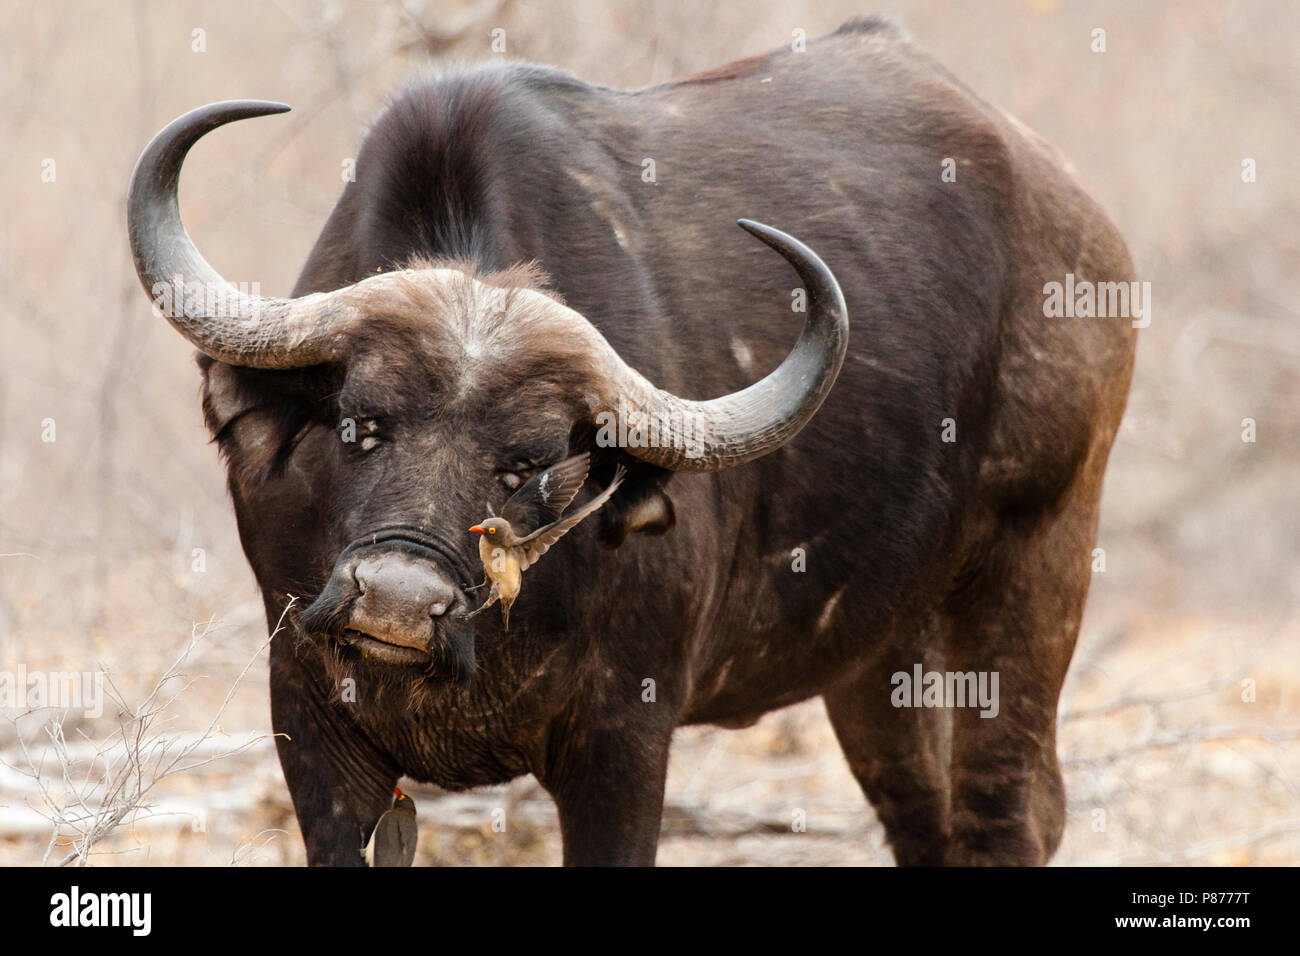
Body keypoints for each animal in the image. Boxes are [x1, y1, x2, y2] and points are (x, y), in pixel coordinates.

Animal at [126, 16, 1133, 868]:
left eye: (528, 462)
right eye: (361, 423)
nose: (398, 605)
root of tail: (1083, 228)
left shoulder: (622, 739)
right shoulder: (310, 720)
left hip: (1036, 567)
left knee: (1008, 812)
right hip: (881, 650)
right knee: (922, 815)